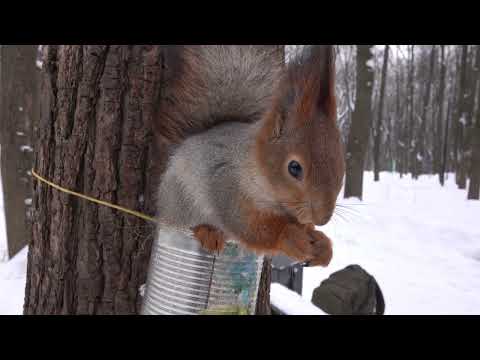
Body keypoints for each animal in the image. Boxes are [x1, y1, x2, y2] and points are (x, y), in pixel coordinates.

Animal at [154, 45, 344, 268]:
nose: (323, 219)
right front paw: (290, 236)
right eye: (294, 168)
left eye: (341, 168)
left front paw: (323, 245)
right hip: (180, 203)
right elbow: (246, 225)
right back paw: (208, 232)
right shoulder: (225, 183)